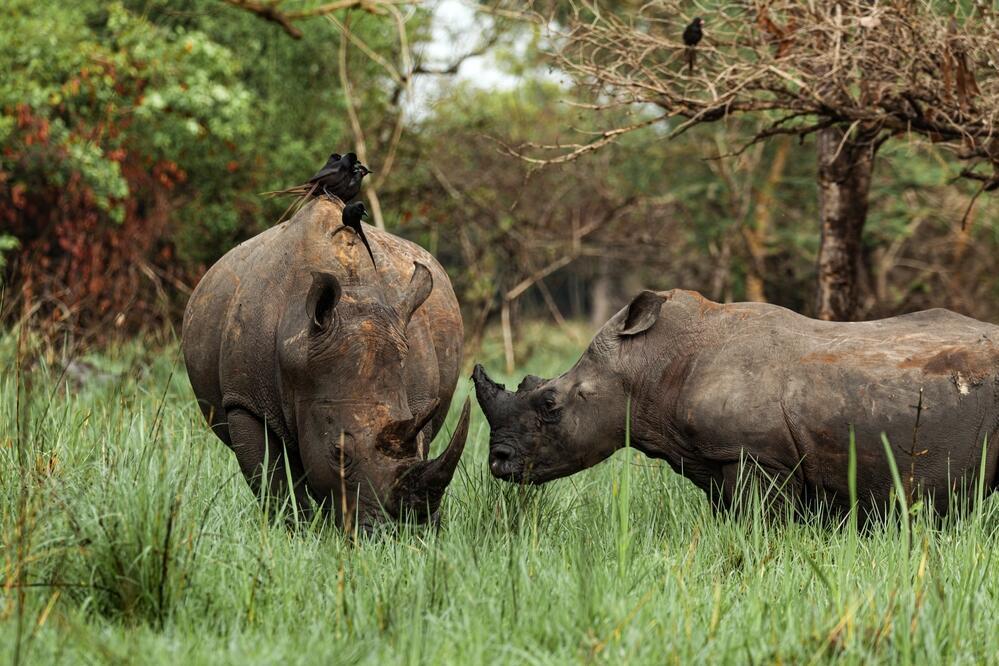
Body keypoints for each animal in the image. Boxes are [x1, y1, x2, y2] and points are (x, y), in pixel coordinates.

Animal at [183, 198, 469, 531]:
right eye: (339, 453)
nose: (394, 531)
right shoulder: (245, 401)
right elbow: (272, 480)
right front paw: (299, 531)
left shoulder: (419, 402)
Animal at [473, 289, 999, 517]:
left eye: (549, 403)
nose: (498, 462)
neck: (647, 367)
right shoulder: (714, 456)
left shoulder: (755, 454)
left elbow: (757, 524)